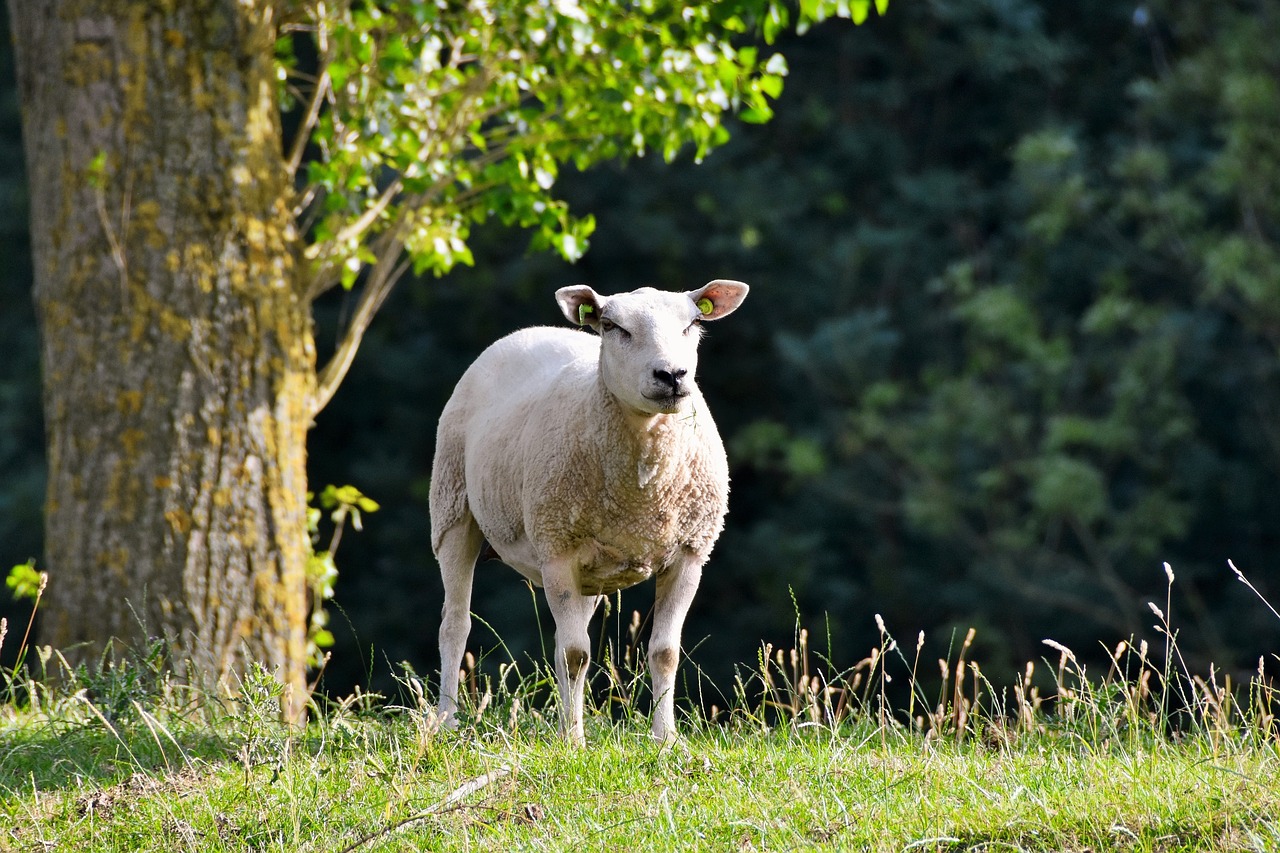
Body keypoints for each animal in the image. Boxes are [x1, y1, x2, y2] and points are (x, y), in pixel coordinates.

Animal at [430, 277, 747, 737]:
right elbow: (575, 653)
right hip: (453, 507)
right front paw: (574, 740)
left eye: (693, 324)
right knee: (456, 625)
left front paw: (665, 738)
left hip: (589, 571)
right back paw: (446, 721)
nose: (672, 375)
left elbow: (663, 652)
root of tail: (528, 331)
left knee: (567, 637)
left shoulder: (690, 551)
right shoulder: (556, 547)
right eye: (614, 327)